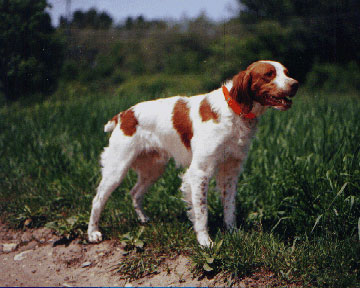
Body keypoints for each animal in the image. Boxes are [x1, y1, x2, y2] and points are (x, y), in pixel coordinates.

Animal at [87, 59, 298, 246]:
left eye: (287, 72)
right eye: (269, 74)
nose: (295, 84)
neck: (234, 111)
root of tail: (124, 115)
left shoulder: (230, 171)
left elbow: (229, 207)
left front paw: (233, 233)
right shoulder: (199, 172)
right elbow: (202, 212)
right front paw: (205, 241)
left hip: (153, 169)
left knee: (135, 192)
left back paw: (143, 219)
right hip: (117, 169)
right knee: (97, 200)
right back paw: (93, 233)